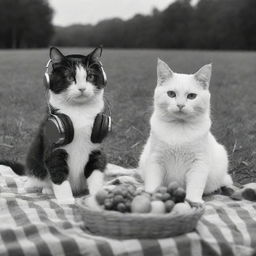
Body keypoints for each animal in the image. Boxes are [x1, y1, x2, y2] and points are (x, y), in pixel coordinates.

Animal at [0, 47, 108, 205]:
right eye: (69, 77)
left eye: (90, 76)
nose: (82, 88)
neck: (79, 112)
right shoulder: (54, 150)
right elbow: (58, 174)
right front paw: (66, 201)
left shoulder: (96, 147)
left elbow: (96, 172)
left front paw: (96, 198)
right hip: (34, 160)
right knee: (35, 178)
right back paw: (40, 188)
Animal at [139, 59, 233, 203]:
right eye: (171, 94)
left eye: (192, 96)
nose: (180, 105)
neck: (179, 128)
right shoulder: (155, 160)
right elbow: (153, 184)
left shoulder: (199, 163)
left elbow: (195, 187)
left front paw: (194, 202)